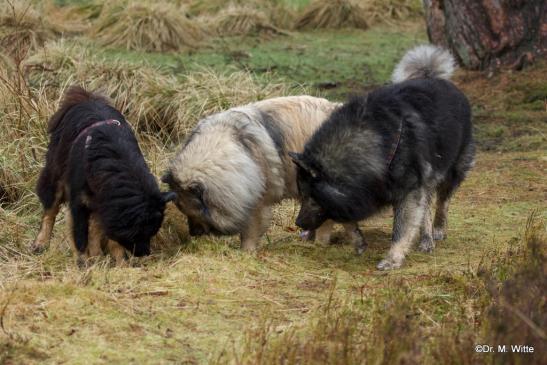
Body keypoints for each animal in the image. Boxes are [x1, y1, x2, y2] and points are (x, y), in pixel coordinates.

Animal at [33, 84, 174, 264]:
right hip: (56, 176)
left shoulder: (107, 205)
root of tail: (86, 98)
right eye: (137, 234)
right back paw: (41, 243)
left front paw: (121, 262)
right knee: (50, 211)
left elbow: (105, 236)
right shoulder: (79, 203)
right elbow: (80, 236)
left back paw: (97, 255)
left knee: (94, 228)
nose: (145, 253)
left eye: (152, 233)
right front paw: (83, 262)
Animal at [292, 44, 476, 268]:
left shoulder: (408, 192)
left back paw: (437, 230)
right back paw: (426, 240)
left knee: (442, 202)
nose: (298, 223)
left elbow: (401, 228)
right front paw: (358, 241)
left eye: (310, 198)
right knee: (426, 209)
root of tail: (436, 78)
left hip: (452, 171)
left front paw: (392, 259)